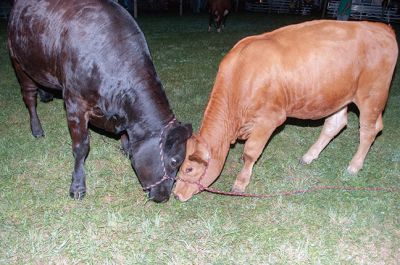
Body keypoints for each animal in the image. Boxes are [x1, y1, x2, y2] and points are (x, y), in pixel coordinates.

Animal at [7, 0, 192, 202]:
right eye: (174, 161)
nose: (164, 197)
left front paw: (126, 148)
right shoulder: (75, 103)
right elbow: (81, 147)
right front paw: (77, 186)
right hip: (19, 62)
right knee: (29, 97)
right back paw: (37, 129)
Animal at [173, 20, 398, 200]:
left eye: (190, 168)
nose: (175, 195)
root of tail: (381, 27)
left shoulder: (270, 119)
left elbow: (251, 151)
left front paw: (240, 182)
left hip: (372, 95)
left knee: (369, 130)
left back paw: (354, 165)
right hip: (339, 95)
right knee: (335, 125)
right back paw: (309, 156)